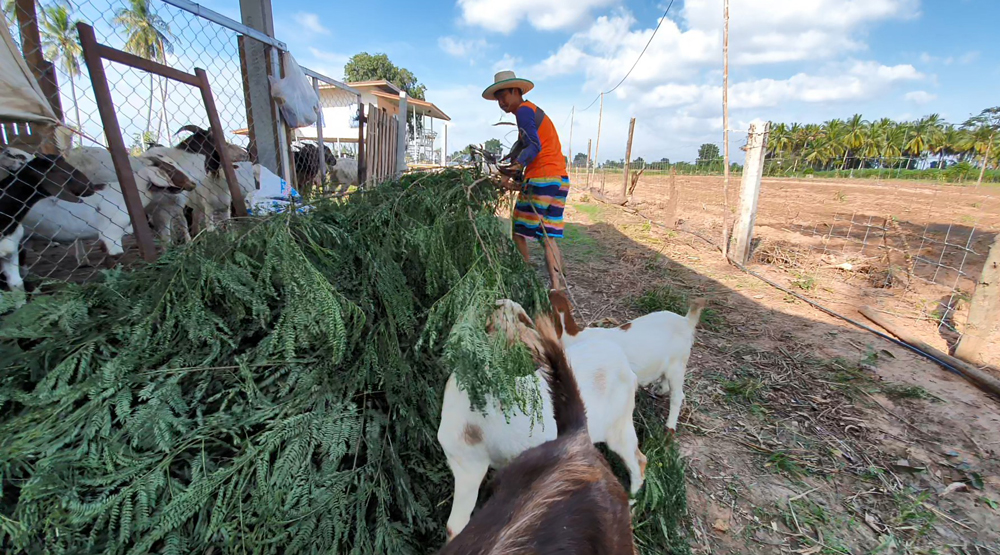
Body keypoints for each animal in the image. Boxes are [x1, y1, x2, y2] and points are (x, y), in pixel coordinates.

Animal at [440, 300, 648, 540]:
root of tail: (624, 364)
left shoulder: (468, 468)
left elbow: (455, 527)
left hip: (619, 427)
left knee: (639, 461)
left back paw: (631, 505)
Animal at [548, 292, 704, 434]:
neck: (573, 336)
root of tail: (687, 321)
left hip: (678, 365)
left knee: (678, 396)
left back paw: (669, 428)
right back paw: (660, 390)